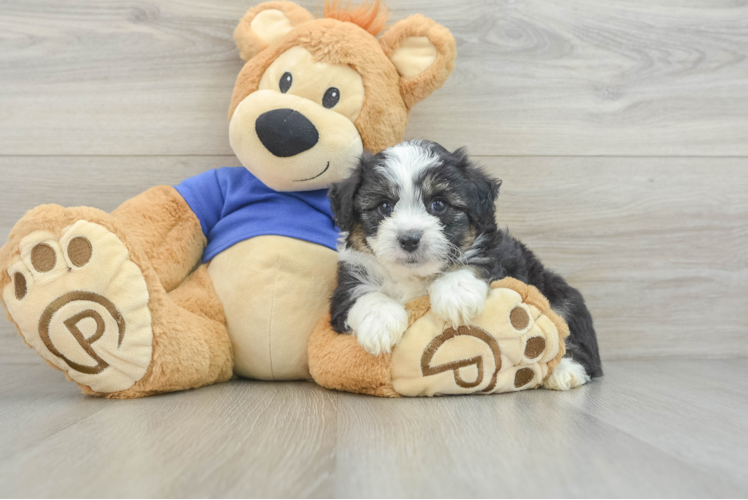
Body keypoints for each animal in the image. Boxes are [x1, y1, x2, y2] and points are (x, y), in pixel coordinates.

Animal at [328, 141, 600, 390]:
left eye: (438, 204)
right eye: (385, 206)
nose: (409, 239)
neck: (415, 277)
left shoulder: (495, 255)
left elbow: (471, 264)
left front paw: (455, 297)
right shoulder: (346, 285)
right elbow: (364, 295)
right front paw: (380, 325)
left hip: (562, 297)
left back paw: (565, 371)